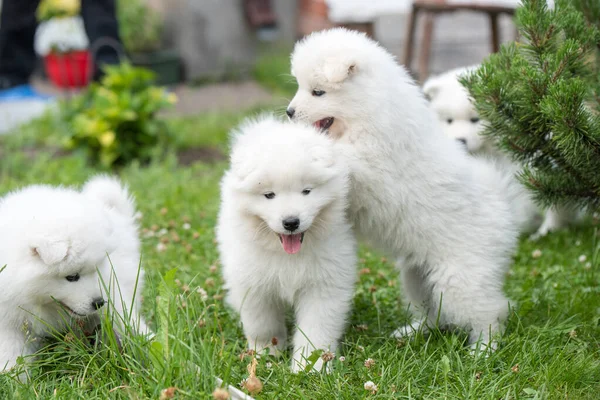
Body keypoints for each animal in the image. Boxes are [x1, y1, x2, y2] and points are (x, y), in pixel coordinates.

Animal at [0, 175, 149, 372]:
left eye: (97, 269)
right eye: (72, 277)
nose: (99, 302)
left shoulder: (110, 291)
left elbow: (124, 319)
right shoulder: (9, 322)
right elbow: (11, 354)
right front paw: (13, 377)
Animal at [217, 115, 354, 372]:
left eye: (307, 191)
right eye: (269, 195)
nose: (291, 222)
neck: (287, 256)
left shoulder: (323, 285)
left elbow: (315, 329)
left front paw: (310, 366)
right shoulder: (255, 286)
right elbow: (262, 325)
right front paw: (266, 353)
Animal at [288, 28, 516, 350]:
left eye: (317, 92)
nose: (289, 112)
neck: (369, 113)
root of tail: (501, 201)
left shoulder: (373, 165)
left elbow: (345, 157)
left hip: (461, 277)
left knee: (491, 311)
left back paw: (484, 349)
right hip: (416, 274)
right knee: (432, 309)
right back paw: (414, 331)